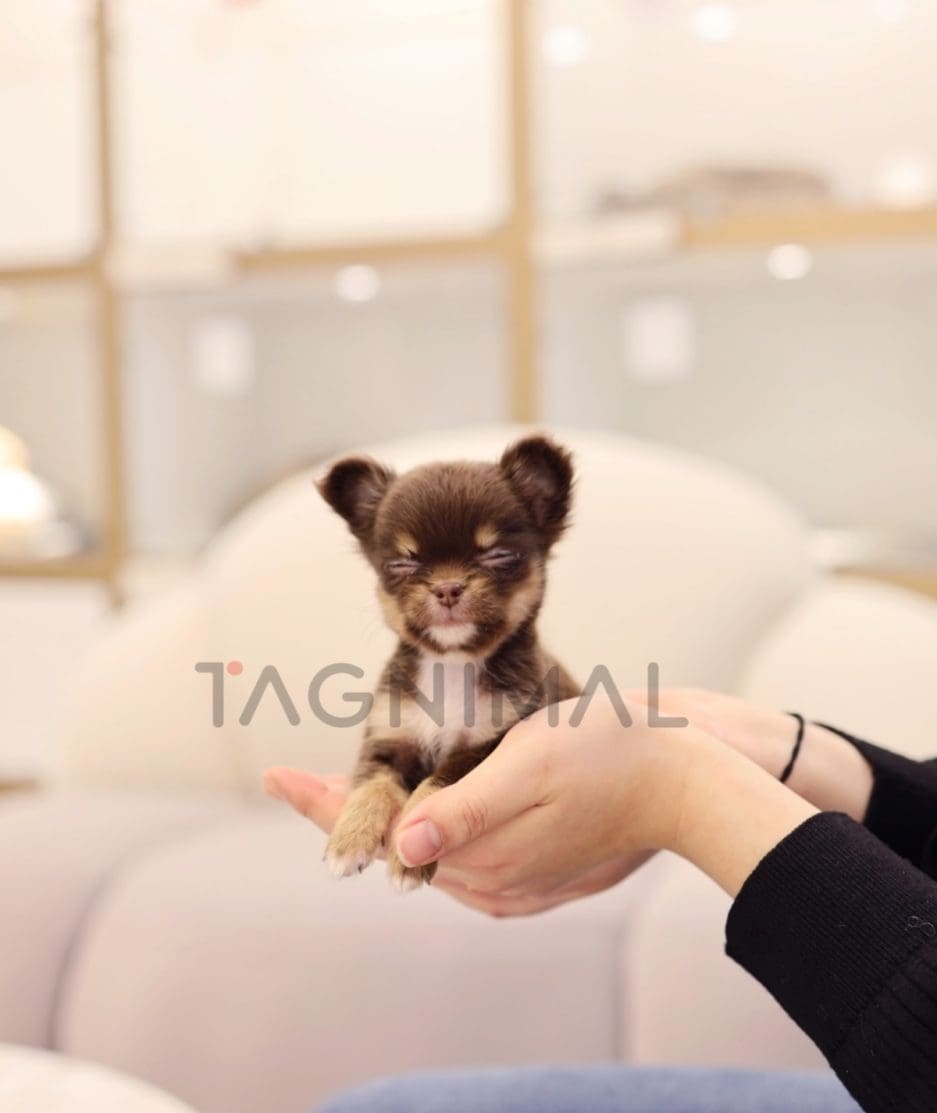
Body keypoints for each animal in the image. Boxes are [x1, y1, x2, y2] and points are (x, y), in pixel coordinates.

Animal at [317, 434, 580, 891]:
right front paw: (349, 838)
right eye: (400, 563)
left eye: (499, 555)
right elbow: (372, 783)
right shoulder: (390, 738)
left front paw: (409, 856)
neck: (453, 664)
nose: (447, 588)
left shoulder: (490, 744)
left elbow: (438, 781)